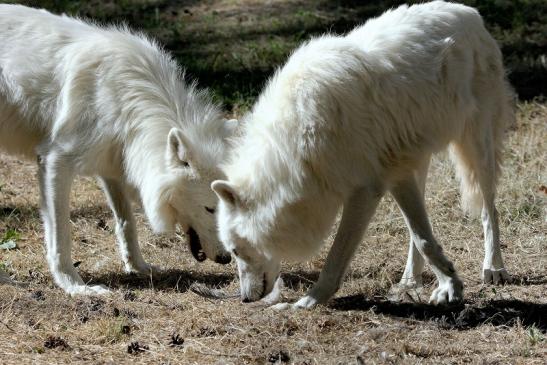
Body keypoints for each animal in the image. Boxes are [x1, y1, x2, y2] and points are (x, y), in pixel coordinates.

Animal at [0, 4, 235, 296]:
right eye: (209, 210)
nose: (226, 258)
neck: (122, 96)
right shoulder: (55, 161)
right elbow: (61, 234)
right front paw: (74, 285)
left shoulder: (113, 165)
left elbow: (127, 223)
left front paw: (139, 267)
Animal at [213, 0, 512, 308]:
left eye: (235, 251)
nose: (245, 299)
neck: (296, 147)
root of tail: (468, 12)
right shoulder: (395, 177)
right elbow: (423, 238)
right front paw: (450, 286)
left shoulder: (365, 190)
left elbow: (336, 256)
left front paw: (311, 300)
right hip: (417, 163)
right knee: (418, 231)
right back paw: (409, 281)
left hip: (477, 147)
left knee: (490, 209)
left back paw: (494, 268)